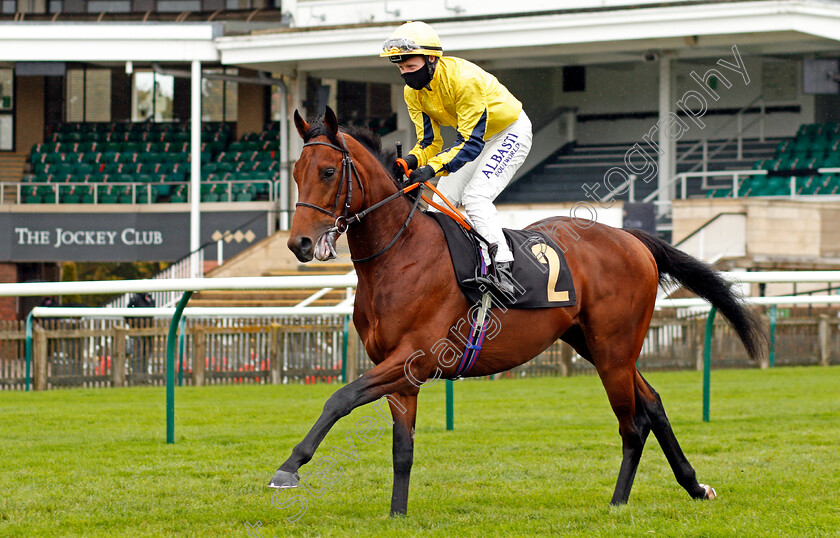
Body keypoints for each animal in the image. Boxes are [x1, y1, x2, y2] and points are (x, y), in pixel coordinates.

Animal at [270, 105, 768, 516]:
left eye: (328, 171)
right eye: (295, 174)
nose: (299, 244)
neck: (399, 255)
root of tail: (632, 239)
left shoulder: (416, 357)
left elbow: (340, 398)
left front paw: (289, 466)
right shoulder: (399, 371)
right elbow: (401, 449)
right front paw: (397, 515)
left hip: (614, 348)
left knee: (634, 423)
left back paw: (617, 503)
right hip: (595, 343)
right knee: (654, 403)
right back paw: (695, 486)